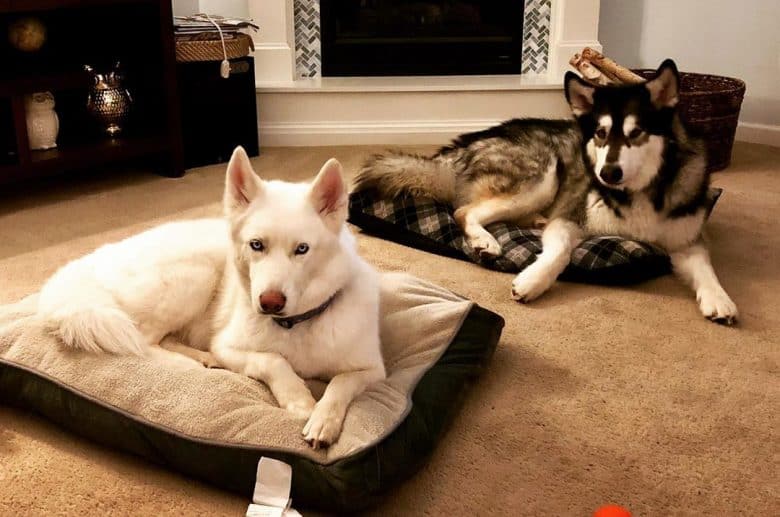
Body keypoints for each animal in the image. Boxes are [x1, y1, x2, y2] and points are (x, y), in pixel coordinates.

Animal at [38, 146, 386, 448]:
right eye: (256, 244)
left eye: (302, 249)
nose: (269, 303)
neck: (294, 324)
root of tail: (89, 264)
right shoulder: (228, 345)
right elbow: (273, 360)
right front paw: (298, 399)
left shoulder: (373, 371)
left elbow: (340, 384)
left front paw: (324, 420)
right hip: (195, 277)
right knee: (145, 343)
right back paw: (195, 363)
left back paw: (203, 359)